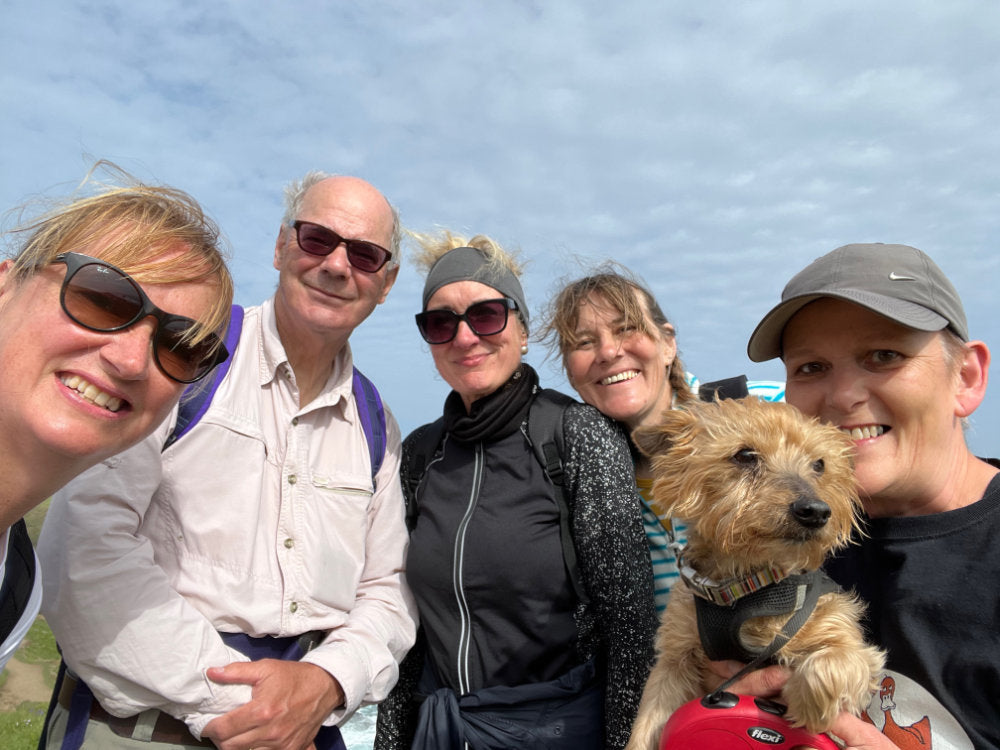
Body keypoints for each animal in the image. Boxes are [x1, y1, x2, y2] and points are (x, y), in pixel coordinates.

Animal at [624, 400, 884, 750]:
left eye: (819, 464)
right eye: (745, 455)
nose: (815, 511)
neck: (746, 585)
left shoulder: (847, 638)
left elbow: (837, 660)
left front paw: (805, 703)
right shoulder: (674, 659)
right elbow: (647, 724)